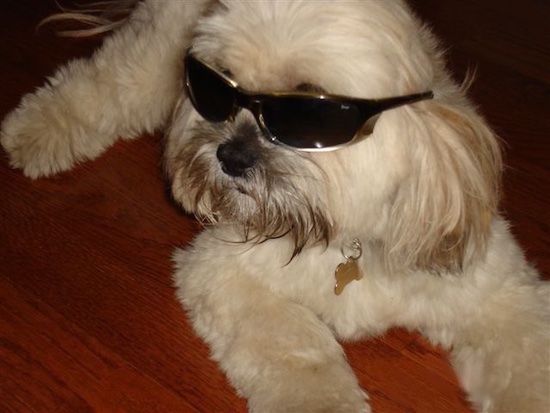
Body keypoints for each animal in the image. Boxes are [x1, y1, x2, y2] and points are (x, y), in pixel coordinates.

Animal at [1, 0, 550, 412]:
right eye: (220, 81)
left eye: (309, 110)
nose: (230, 155)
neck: (344, 239)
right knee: (101, 83)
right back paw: (34, 130)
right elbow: (299, 351)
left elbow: (528, 366)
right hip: (156, 57)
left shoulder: (500, 294)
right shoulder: (221, 270)